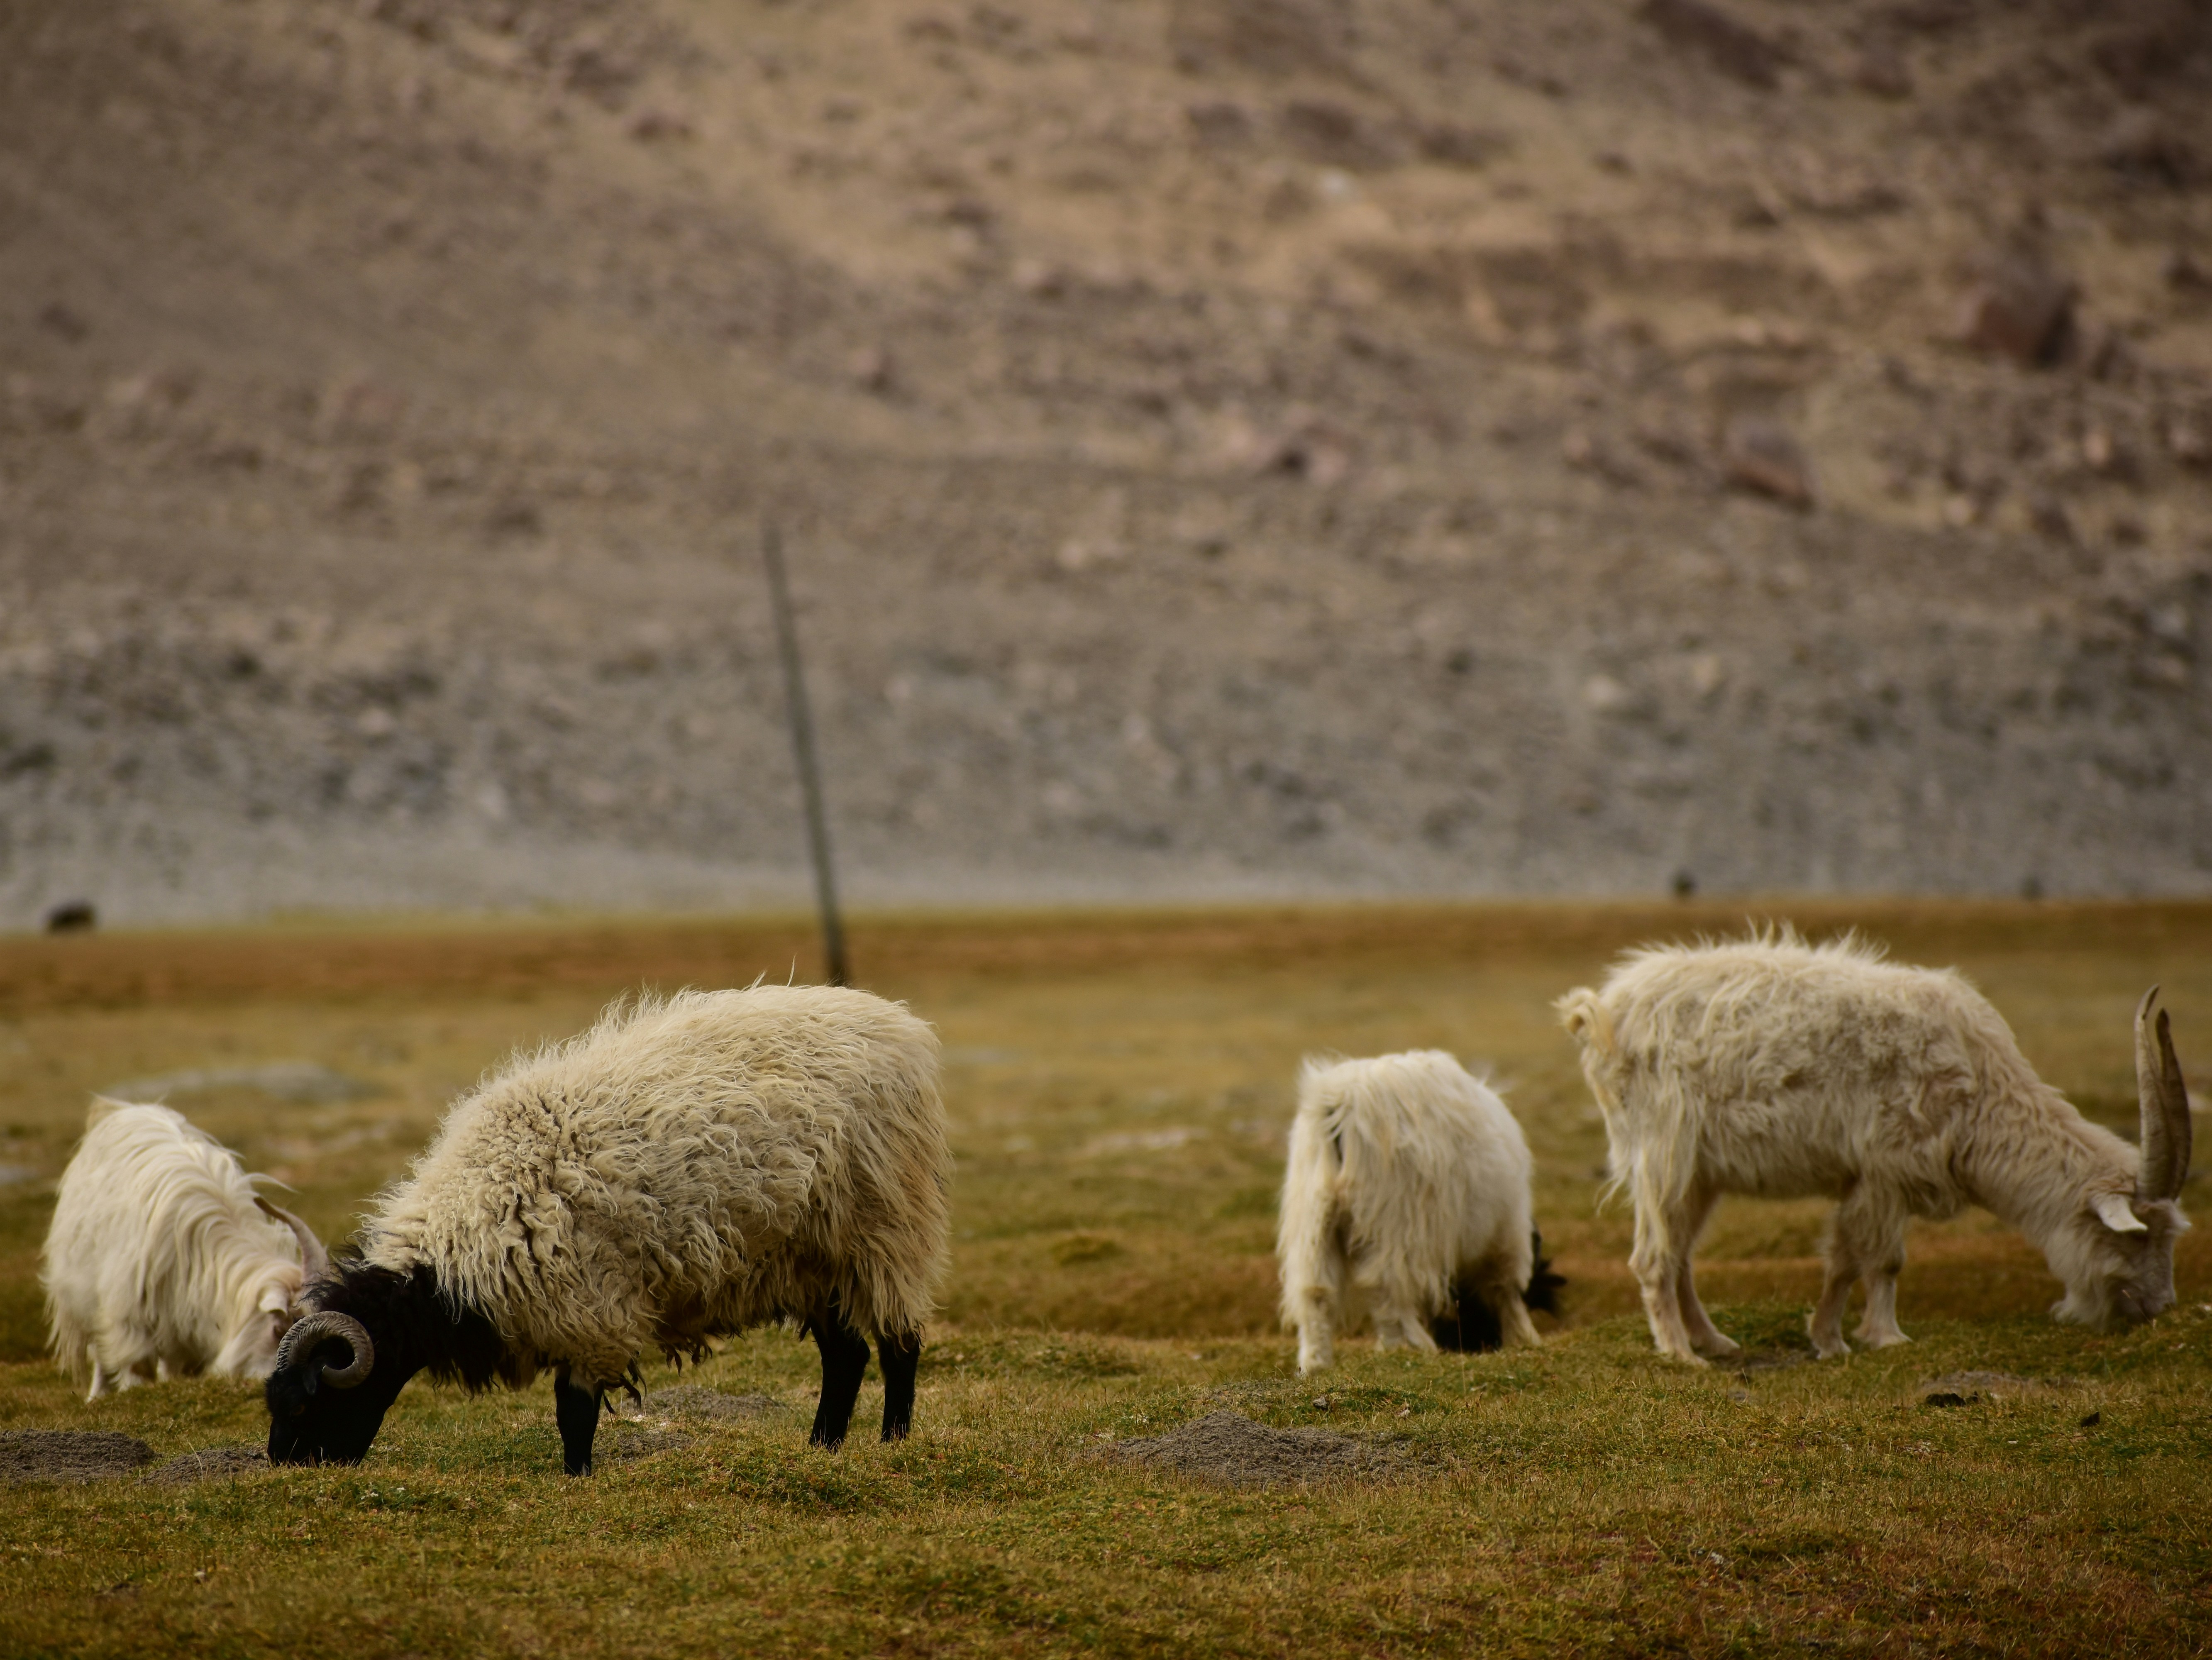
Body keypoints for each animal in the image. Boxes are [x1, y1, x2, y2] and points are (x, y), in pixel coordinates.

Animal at [42, 1100, 327, 1401]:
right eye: (278, 1330)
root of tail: (121, 1110)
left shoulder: (185, 1321)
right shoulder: (128, 1318)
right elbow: (134, 1364)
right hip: (85, 1301)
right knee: (100, 1353)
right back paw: (97, 1396)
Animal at [265, 985, 952, 1475]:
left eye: (306, 1402)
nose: (283, 1470)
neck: (457, 1251)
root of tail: (904, 1028)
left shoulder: (586, 1314)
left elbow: (575, 1414)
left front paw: (578, 1478)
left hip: (885, 1230)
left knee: (899, 1344)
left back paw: (892, 1443)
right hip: (812, 1258)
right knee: (846, 1356)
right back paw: (822, 1448)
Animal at [1277, 1050, 1553, 1375]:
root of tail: (1339, 1102)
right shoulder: (1505, 1235)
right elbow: (1506, 1290)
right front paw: (1523, 1338)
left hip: (1315, 1220)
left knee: (1316, 1291)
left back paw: (1315, 1364)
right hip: (1394, 1222)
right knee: (1383, 1285)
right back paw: (1408, 1345)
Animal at [1557, 932, 2195, 1364]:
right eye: (2139, 1237)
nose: (2160, 1307)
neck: (1981, 1089)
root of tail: (1604, 1012)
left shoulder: (1861, 1177)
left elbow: (1842, 1259)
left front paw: (1828, 1339)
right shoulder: (1887, 1169)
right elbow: (1883, 1260)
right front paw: (1885, 1337)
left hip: (1699, 1173)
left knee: (1680, 1254)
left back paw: (1713, 1341)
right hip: (1664, 1151)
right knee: (1652, 1257)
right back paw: (1679, 1354)